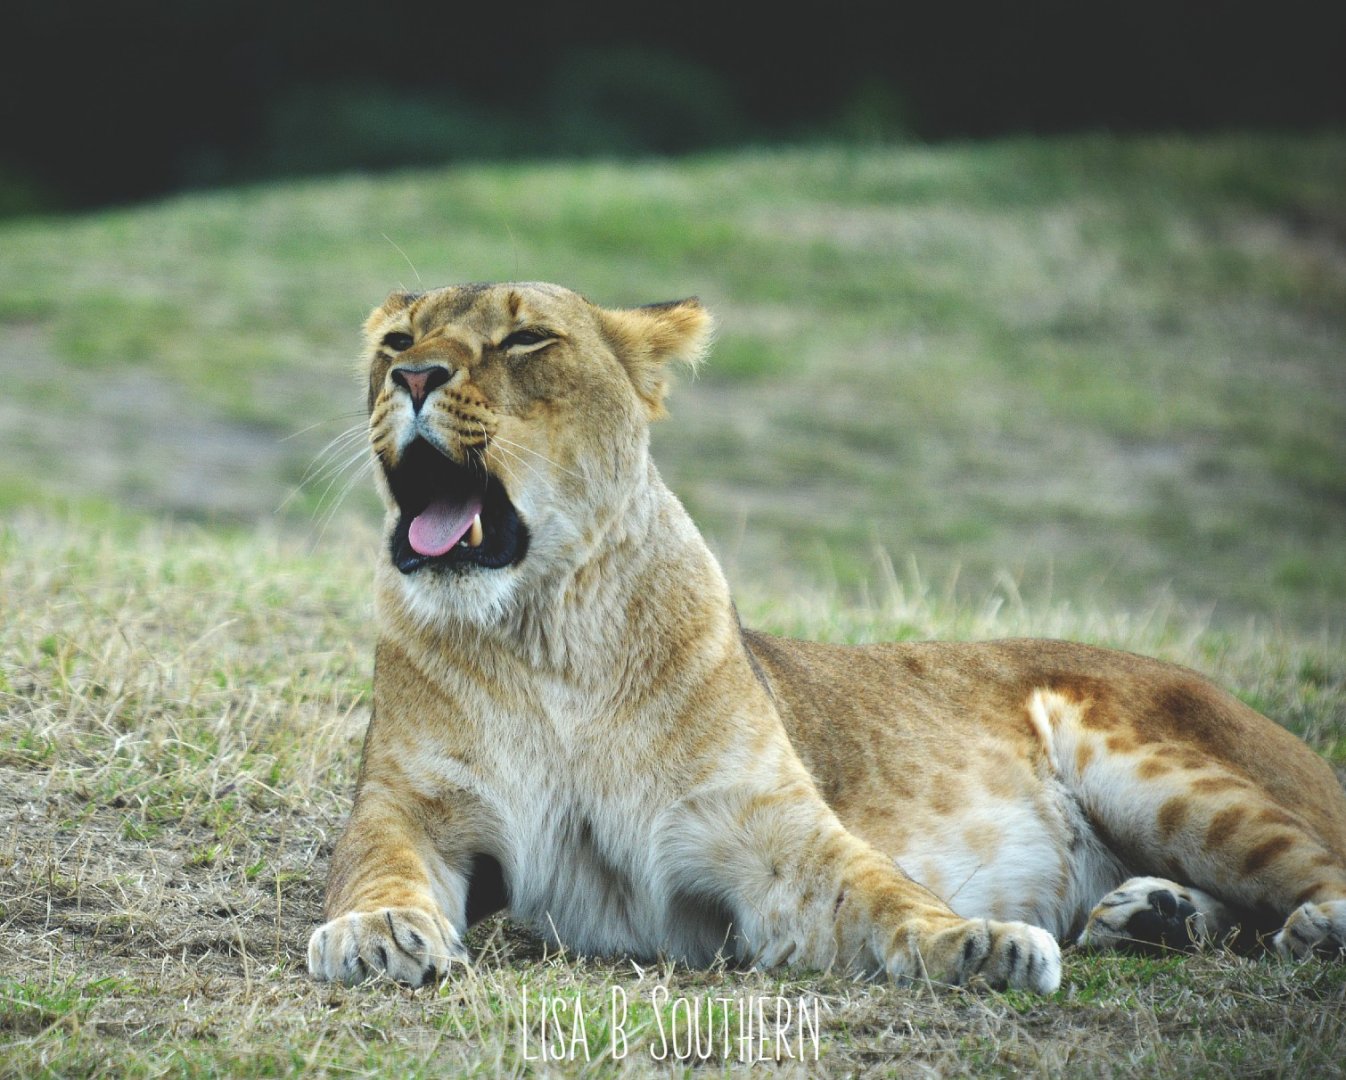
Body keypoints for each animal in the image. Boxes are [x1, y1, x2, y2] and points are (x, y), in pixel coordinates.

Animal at [307, 282, 1346, 992]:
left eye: (525, 338)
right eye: (397, 339)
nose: (413, 375)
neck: (545, 634)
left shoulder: (764, 828)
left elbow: (879, 889)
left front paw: (979, 943)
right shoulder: (411, 803)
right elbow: (376, 863)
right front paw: (376, 934)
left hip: (1172, 783)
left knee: (1309, 864)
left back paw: (1301, 927)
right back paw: (1152, 916)